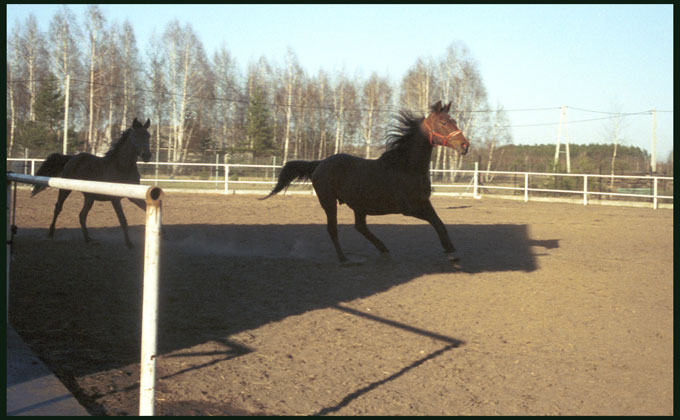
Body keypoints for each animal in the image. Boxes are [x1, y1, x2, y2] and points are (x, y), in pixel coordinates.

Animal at [31, 118, 151, 248]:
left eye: (148, 136)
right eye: (136, 136)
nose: (147, 156)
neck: (121, 167)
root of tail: (72, 158)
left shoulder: (133, 196)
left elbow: (145, 209)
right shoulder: (115, 199)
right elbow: (123, 220)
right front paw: (129, 244)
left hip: (89, 197)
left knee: (82, 215)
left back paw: (88, 238)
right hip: (65, 190)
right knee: (58, 208)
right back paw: (51, 233)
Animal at [262, 101, 470, 266]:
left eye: (454, 121)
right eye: (444, 122)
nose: (465, 145)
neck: (406, 166)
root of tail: (320, 163)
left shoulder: (425, 202)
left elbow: (440, 223)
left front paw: (452, 253)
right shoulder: (410, 208)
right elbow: (436, 223)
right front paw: (452, 255)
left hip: (358, 205)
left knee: (360, 227)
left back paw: (384, 251)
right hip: (328, 202)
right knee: (333, 229)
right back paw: (344, 259)